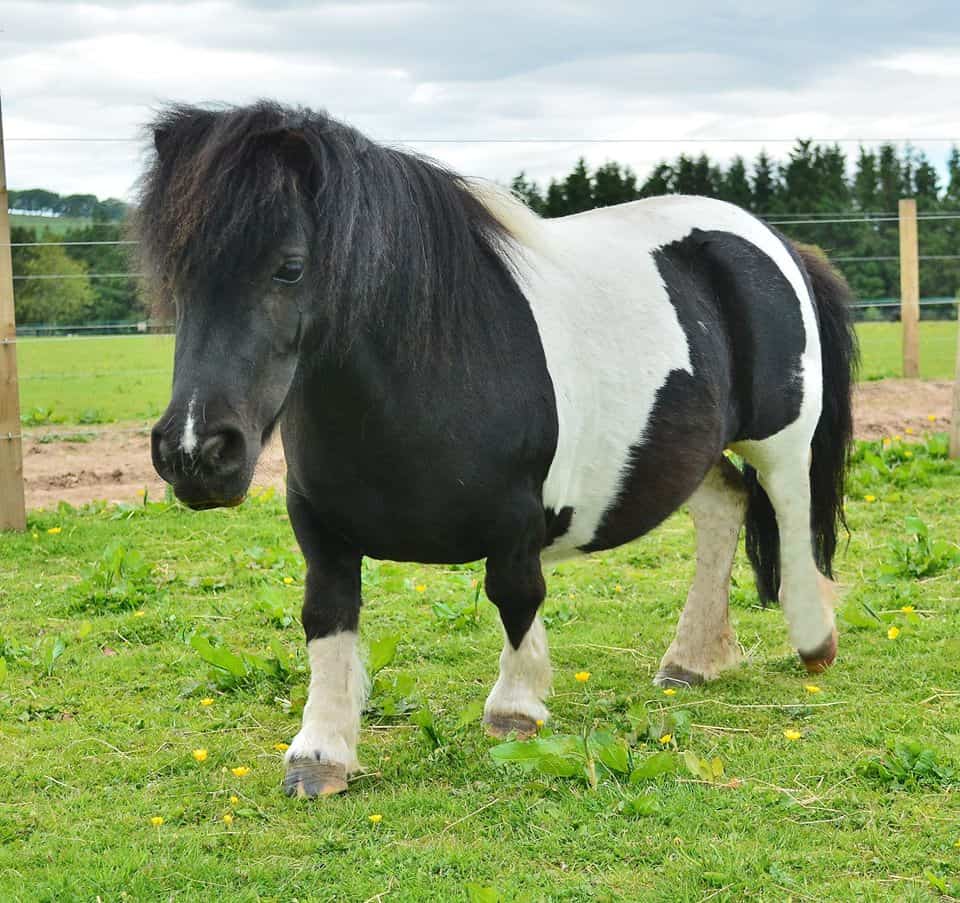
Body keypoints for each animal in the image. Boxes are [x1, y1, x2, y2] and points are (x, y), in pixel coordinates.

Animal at [140, 101, 857, 799]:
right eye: (175, 277)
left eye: (289, 267)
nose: (196, 453)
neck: (439, 359)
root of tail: (776, 241)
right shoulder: (319, 528)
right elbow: (327, 618)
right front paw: (321, 753)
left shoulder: (518, 519)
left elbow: (515, 595)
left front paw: (516, 709)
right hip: (686, 450)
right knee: (724, 507)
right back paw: (693, 659)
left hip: (780, 438)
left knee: (790, 512)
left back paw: (813, 640)